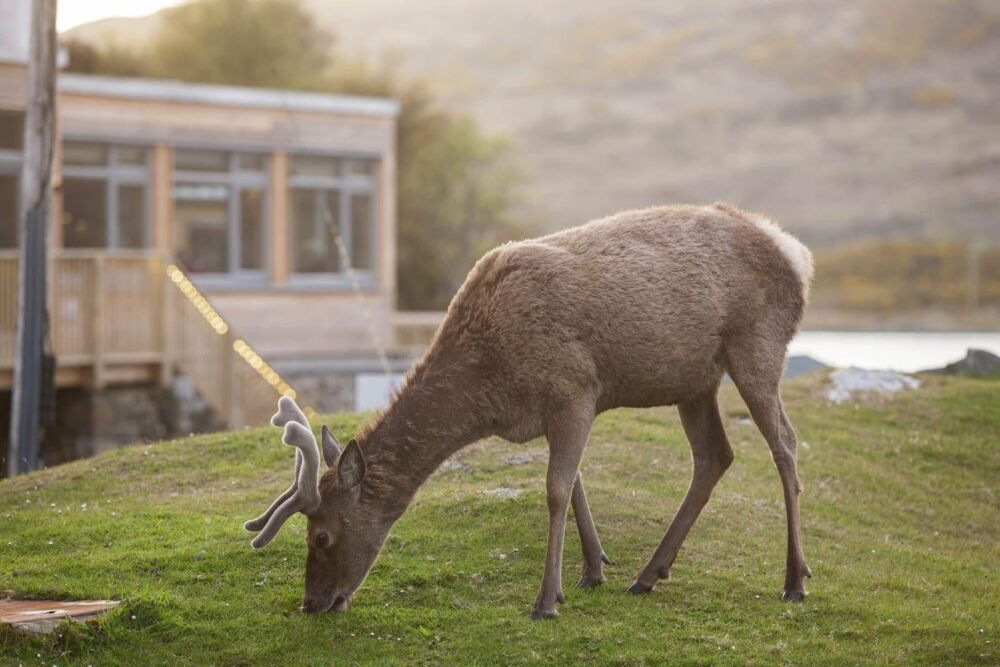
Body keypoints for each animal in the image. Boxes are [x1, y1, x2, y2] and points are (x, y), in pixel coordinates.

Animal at [242, 204, 812, 620]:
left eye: (321, 535)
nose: (312, 603)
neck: (491, 391)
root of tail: (795, 252)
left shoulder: (576, 387)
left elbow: (557, 490)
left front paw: (544, 601)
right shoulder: (550, 412)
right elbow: (576, 482)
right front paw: (591, 571)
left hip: (757, 347)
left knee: (785, 443)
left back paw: (794, 580)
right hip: (695, 380)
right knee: (715, 455)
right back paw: (649, 574)